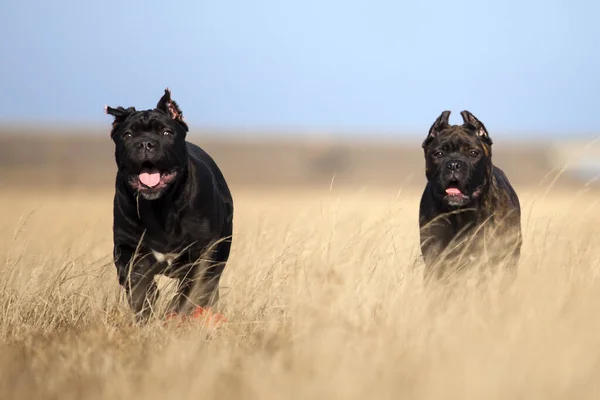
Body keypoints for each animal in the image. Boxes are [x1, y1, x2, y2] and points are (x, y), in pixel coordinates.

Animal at [105, 89, 232, 320]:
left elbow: (189, 291)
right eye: (128, 135)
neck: (160, 208)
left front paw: (176, 312)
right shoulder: (127, 245)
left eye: (166, 132)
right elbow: (135, 280)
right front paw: (146, 304)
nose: (146, 143)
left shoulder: (202, 254)